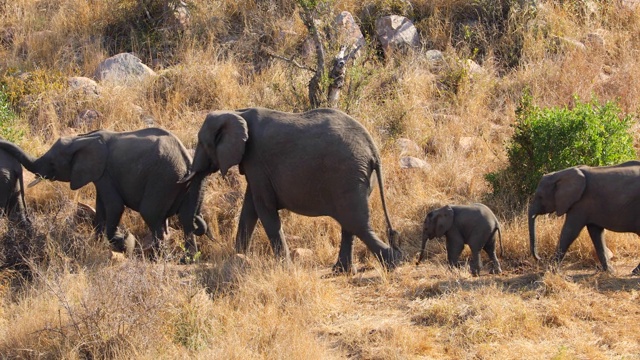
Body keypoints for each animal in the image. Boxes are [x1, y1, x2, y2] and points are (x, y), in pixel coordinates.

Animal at [0, 127, 208, 256]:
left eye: (53, 163)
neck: (82, 139)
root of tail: (186, 160)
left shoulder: (105, 173)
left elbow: (114, 206)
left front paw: (119, 240)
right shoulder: (100, 176)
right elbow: (100, 206)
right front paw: (98, 241)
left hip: (163, 178)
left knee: (151, 214)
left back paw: (159, 258)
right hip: (191, 184)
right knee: (186, 220)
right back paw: (187, 259)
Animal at [179, 107, 400, 272]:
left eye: (202, 143)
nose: (198, 219)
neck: (236, 112)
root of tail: (373, 150)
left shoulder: (256, 160)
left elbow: (264, 207)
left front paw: (284, 267)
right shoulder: (255, 165)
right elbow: (249, 208)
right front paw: (236, 258)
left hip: (348, 174)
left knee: (356, 223)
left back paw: (393, 263)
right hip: (357, 178)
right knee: (351, 223)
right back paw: (342, 271)